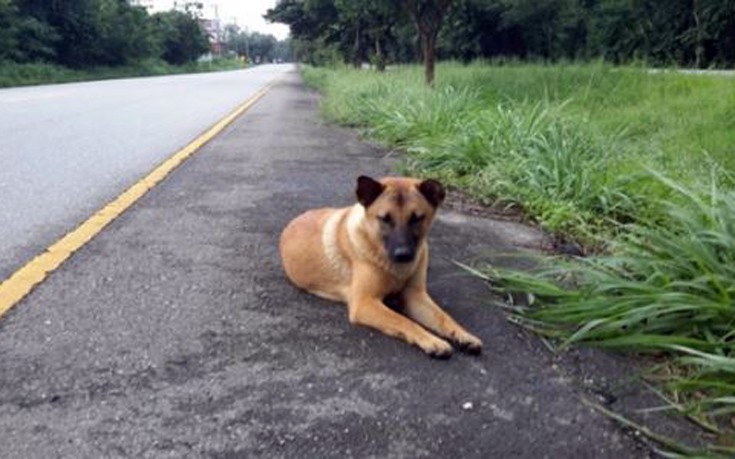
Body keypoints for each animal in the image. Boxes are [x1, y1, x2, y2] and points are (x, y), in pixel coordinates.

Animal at [280, 176, 484, 360]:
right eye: (385, 219)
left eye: (417, 218)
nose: (403, 255)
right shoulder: (365, 303)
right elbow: (404, 321)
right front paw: (431, 340)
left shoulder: (415, 296)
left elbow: (443, 317)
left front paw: (463, 335)